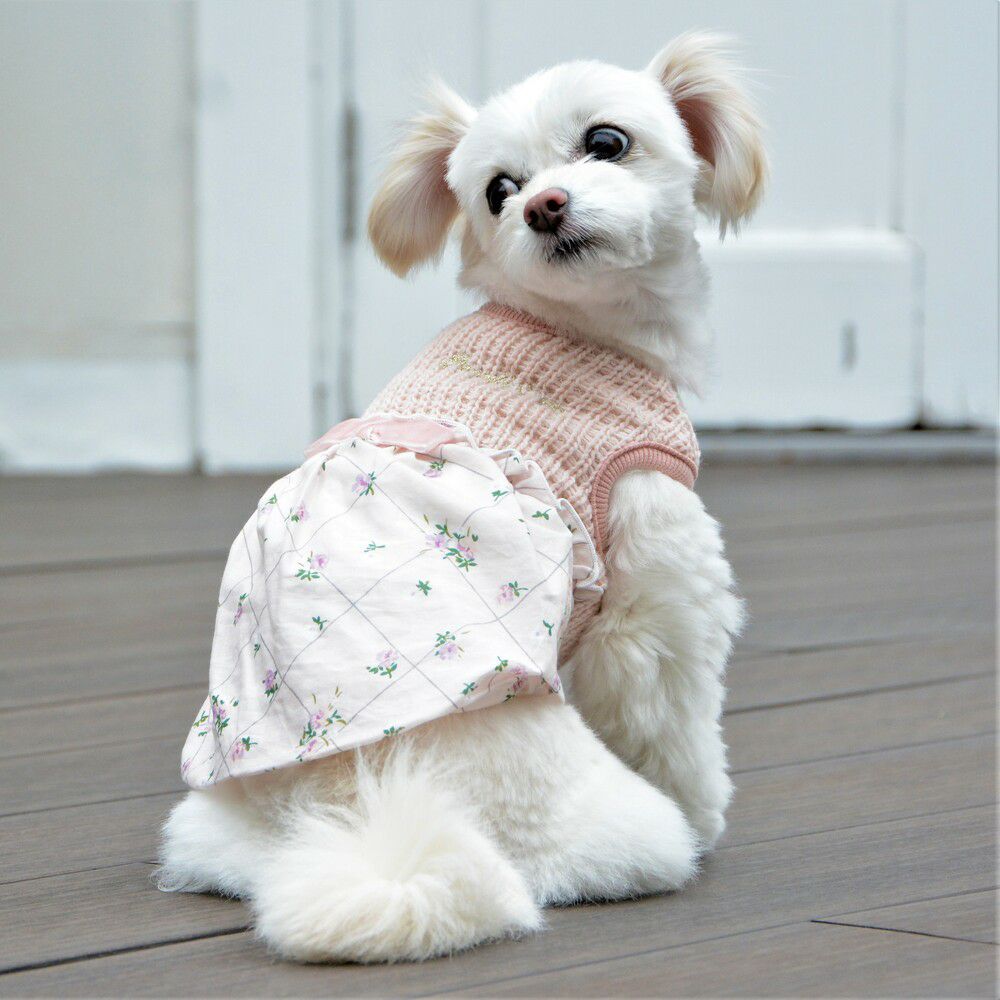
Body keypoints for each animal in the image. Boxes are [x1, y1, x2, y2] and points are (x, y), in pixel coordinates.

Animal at [159, 31, 765, 963]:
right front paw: (707, 812)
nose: (544, 205)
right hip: (597, 813)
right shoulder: (654, 584)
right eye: (498, 190)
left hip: (214, 828)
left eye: (607, 142)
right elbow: (674, 721)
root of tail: (372, 805)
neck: (577, 329)